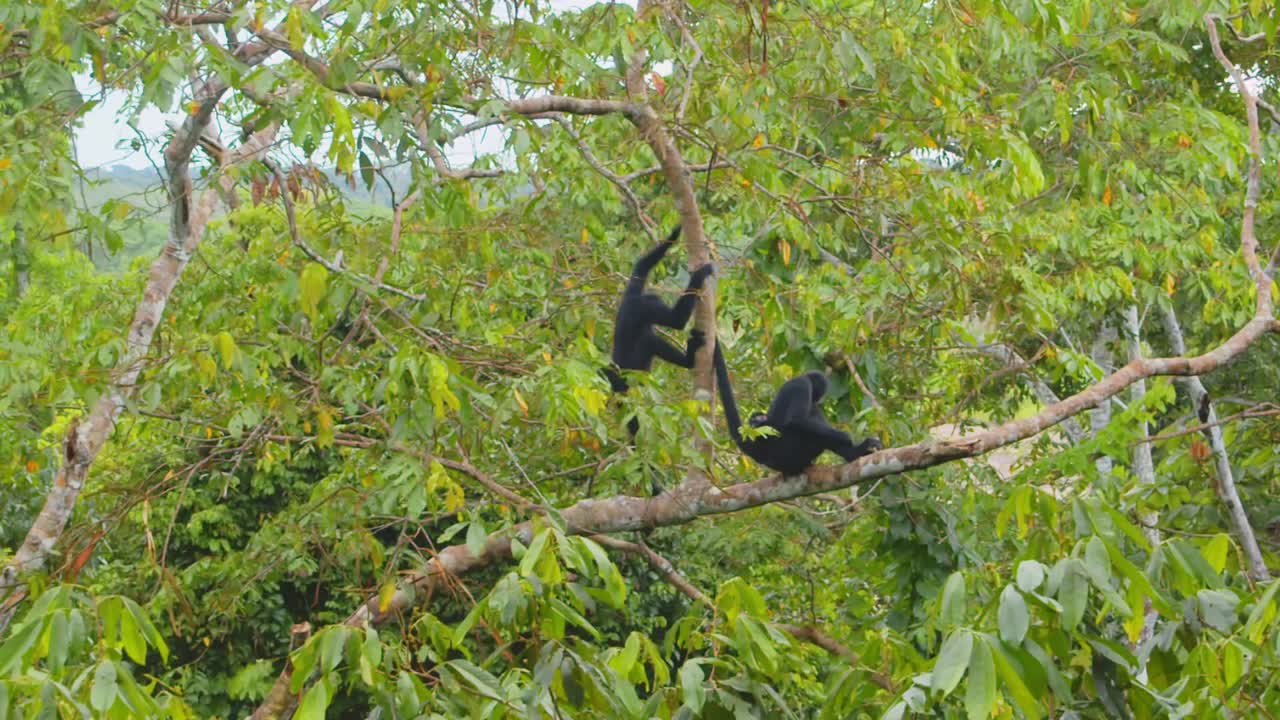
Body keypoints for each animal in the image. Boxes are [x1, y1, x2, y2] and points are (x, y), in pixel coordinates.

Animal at [602, 225, 715, 435]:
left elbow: (641, 266)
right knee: (650, 340)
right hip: (628, 378)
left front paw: (674, 233)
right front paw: (699, 274)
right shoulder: (644, 308)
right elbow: (676, 320)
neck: (635, 301)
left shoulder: (632, 293)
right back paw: (689, 360)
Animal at [711, 341, 881, 475]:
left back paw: (858, 451)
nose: (817, 399)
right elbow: (796, 421)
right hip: (792, 452)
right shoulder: (802, 385)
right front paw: (844, 436)